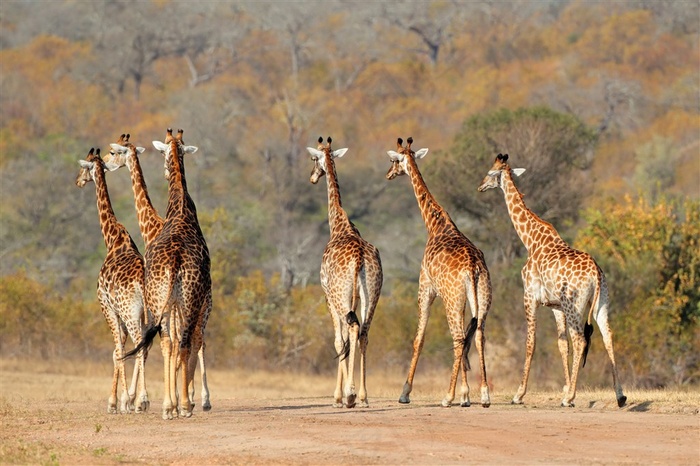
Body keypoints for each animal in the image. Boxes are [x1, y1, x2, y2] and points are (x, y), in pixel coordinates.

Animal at [75, 147, 149, 414]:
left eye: (84, 167)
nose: (78, 181)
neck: (112, 238)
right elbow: (121, 350)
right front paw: (121, 400)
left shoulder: (107, 306)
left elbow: (117, 350)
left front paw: (118, 402)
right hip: (150, 312)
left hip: (130, 312)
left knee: (139, 344)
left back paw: (141, 400)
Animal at [106, 134, 211, 412]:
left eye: (114, 152)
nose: (107, 164)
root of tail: (175, 260)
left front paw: (135, 400)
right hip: (194, 300)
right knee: (193, 339)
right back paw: (192, 400)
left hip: (168, 300)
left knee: (168, 342)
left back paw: (171, 402)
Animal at [306, 136, 382, 408]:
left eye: (313, 158)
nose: (312, 177)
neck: (339, 225)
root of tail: (359, 258)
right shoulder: (355, 297)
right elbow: (351, 340)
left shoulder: (327, 295)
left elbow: (339, 340)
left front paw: (338, 397)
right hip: (372, 293)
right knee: (365, 332)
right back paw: (364, 396)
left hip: (340, 296)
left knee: (351, 329)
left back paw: (349, 395)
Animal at [382, 137, 492, 406]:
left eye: (392, 160)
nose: (388, 174)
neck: (435, 225)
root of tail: (473, 268)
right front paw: (466, 394)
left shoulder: (426, 288)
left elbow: (418, 339)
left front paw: (405, 393)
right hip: (480, 296)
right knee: (478, 336)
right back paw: (484, 395)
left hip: (451, 299)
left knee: (458, 338)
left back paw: (448, 396)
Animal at [478, 154, 628, 408]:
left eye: (490, 172)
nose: (480, 187)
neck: (530, 240)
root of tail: (596, 274)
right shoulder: (555, 306)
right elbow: (561, 344)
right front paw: (564, 388)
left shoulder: (529, 296)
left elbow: (531, 343)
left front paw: (519, 394)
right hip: (601, 303)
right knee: (607, 336)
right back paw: (620, 395)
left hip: (574, 304)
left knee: (580, 339)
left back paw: (570, 398)